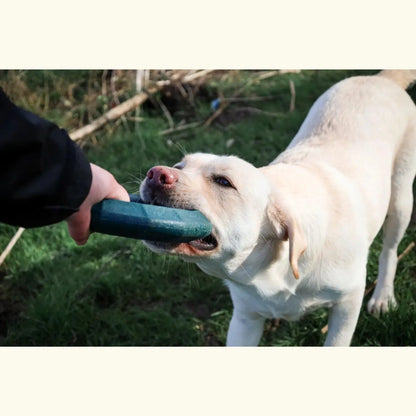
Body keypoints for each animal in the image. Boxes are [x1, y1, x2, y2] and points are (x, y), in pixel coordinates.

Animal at [141, 70, 416, 346]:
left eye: (223, 181)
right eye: (179, 165)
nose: (155, 174)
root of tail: (381, 78)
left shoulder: (348, 303)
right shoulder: (245, 319)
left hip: (401, 200)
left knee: (390, 250)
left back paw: (383, 296)